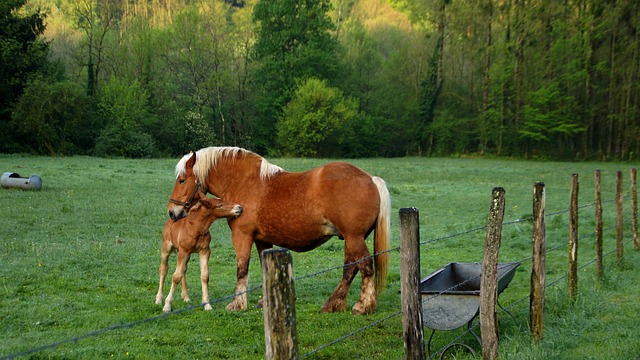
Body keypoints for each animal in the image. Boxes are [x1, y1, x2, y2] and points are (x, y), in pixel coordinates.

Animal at [166, 146, 390, 316]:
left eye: (182, 180)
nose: (172, 212)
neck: (244, 182)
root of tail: (370, 179)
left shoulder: (242, 236)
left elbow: (241, 270)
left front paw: (237, 304)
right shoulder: (262, 240)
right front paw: (264, 301)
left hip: (354, 238)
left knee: (365, 266)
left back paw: (363, 306)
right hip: (352, 239)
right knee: (350, 269)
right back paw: (333, 303)